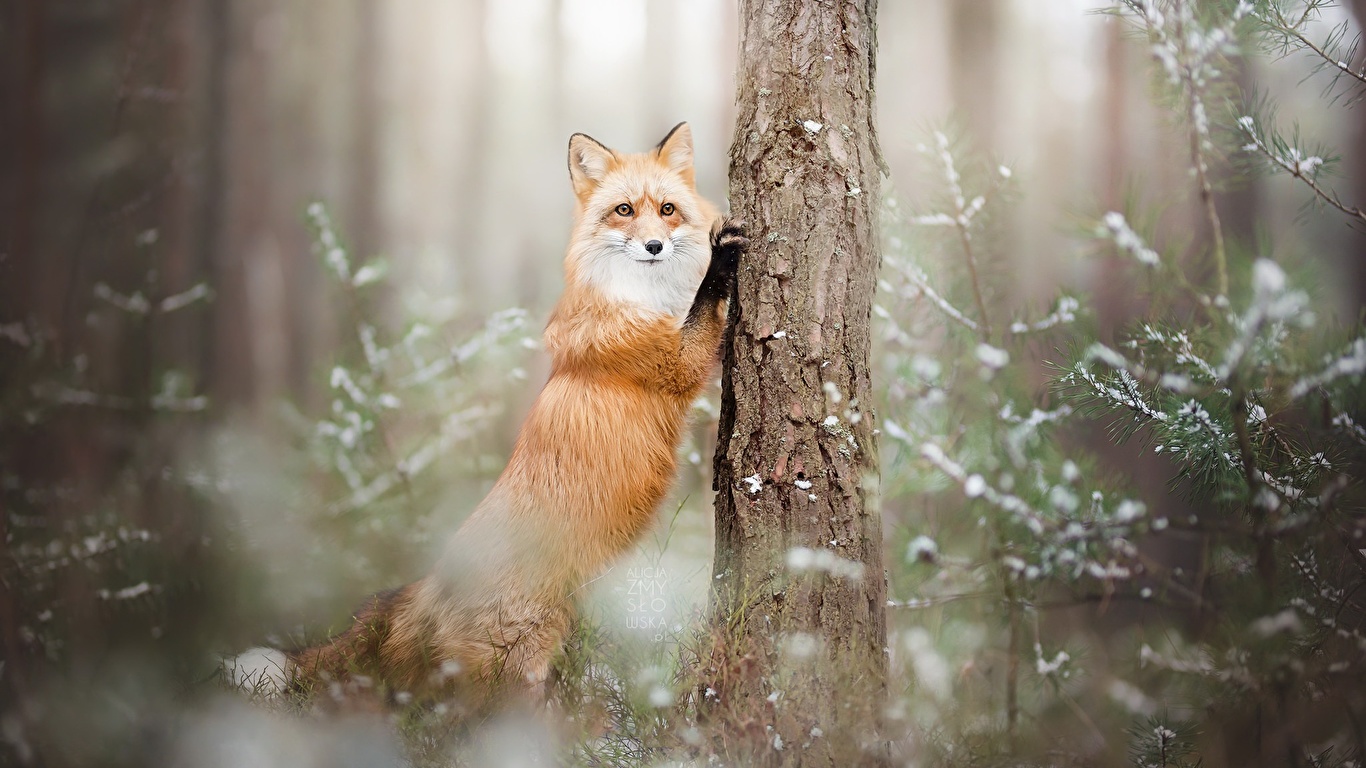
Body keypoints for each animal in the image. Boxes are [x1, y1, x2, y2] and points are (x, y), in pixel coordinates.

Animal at [232, 120, 748, 710]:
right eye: (623, 211)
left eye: (667, 209)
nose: (654, 245)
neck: (646, 298)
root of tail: (430, 584)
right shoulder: (672, 363)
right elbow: (704, 307)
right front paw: (721, 259)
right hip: (517, 672)